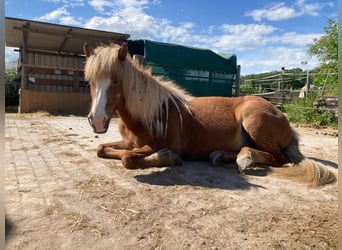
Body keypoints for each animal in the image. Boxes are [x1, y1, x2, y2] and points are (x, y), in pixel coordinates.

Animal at [83, 43, 336, 188]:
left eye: (117, 80)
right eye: (90, 81)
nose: (97, 121)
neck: (150, 113)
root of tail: (282, 117)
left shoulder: (160, 143)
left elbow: (128, 158)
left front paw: (167, 158)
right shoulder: (128, 142)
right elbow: (101, 149)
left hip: (254, 121)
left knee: (278, 158)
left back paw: (245, 159)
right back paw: (222, 156)